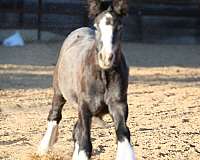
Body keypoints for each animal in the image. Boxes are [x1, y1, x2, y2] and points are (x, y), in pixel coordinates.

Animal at [37, 0, 136, 159]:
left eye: (120, 27)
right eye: (96, 26)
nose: (106, 57)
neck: (102, 76)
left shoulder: (119, 104)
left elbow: (122, 133)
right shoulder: (85, 107)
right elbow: (85, 140)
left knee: (76, 129)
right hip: (59, 92)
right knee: (55, 115)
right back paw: (44, 147)